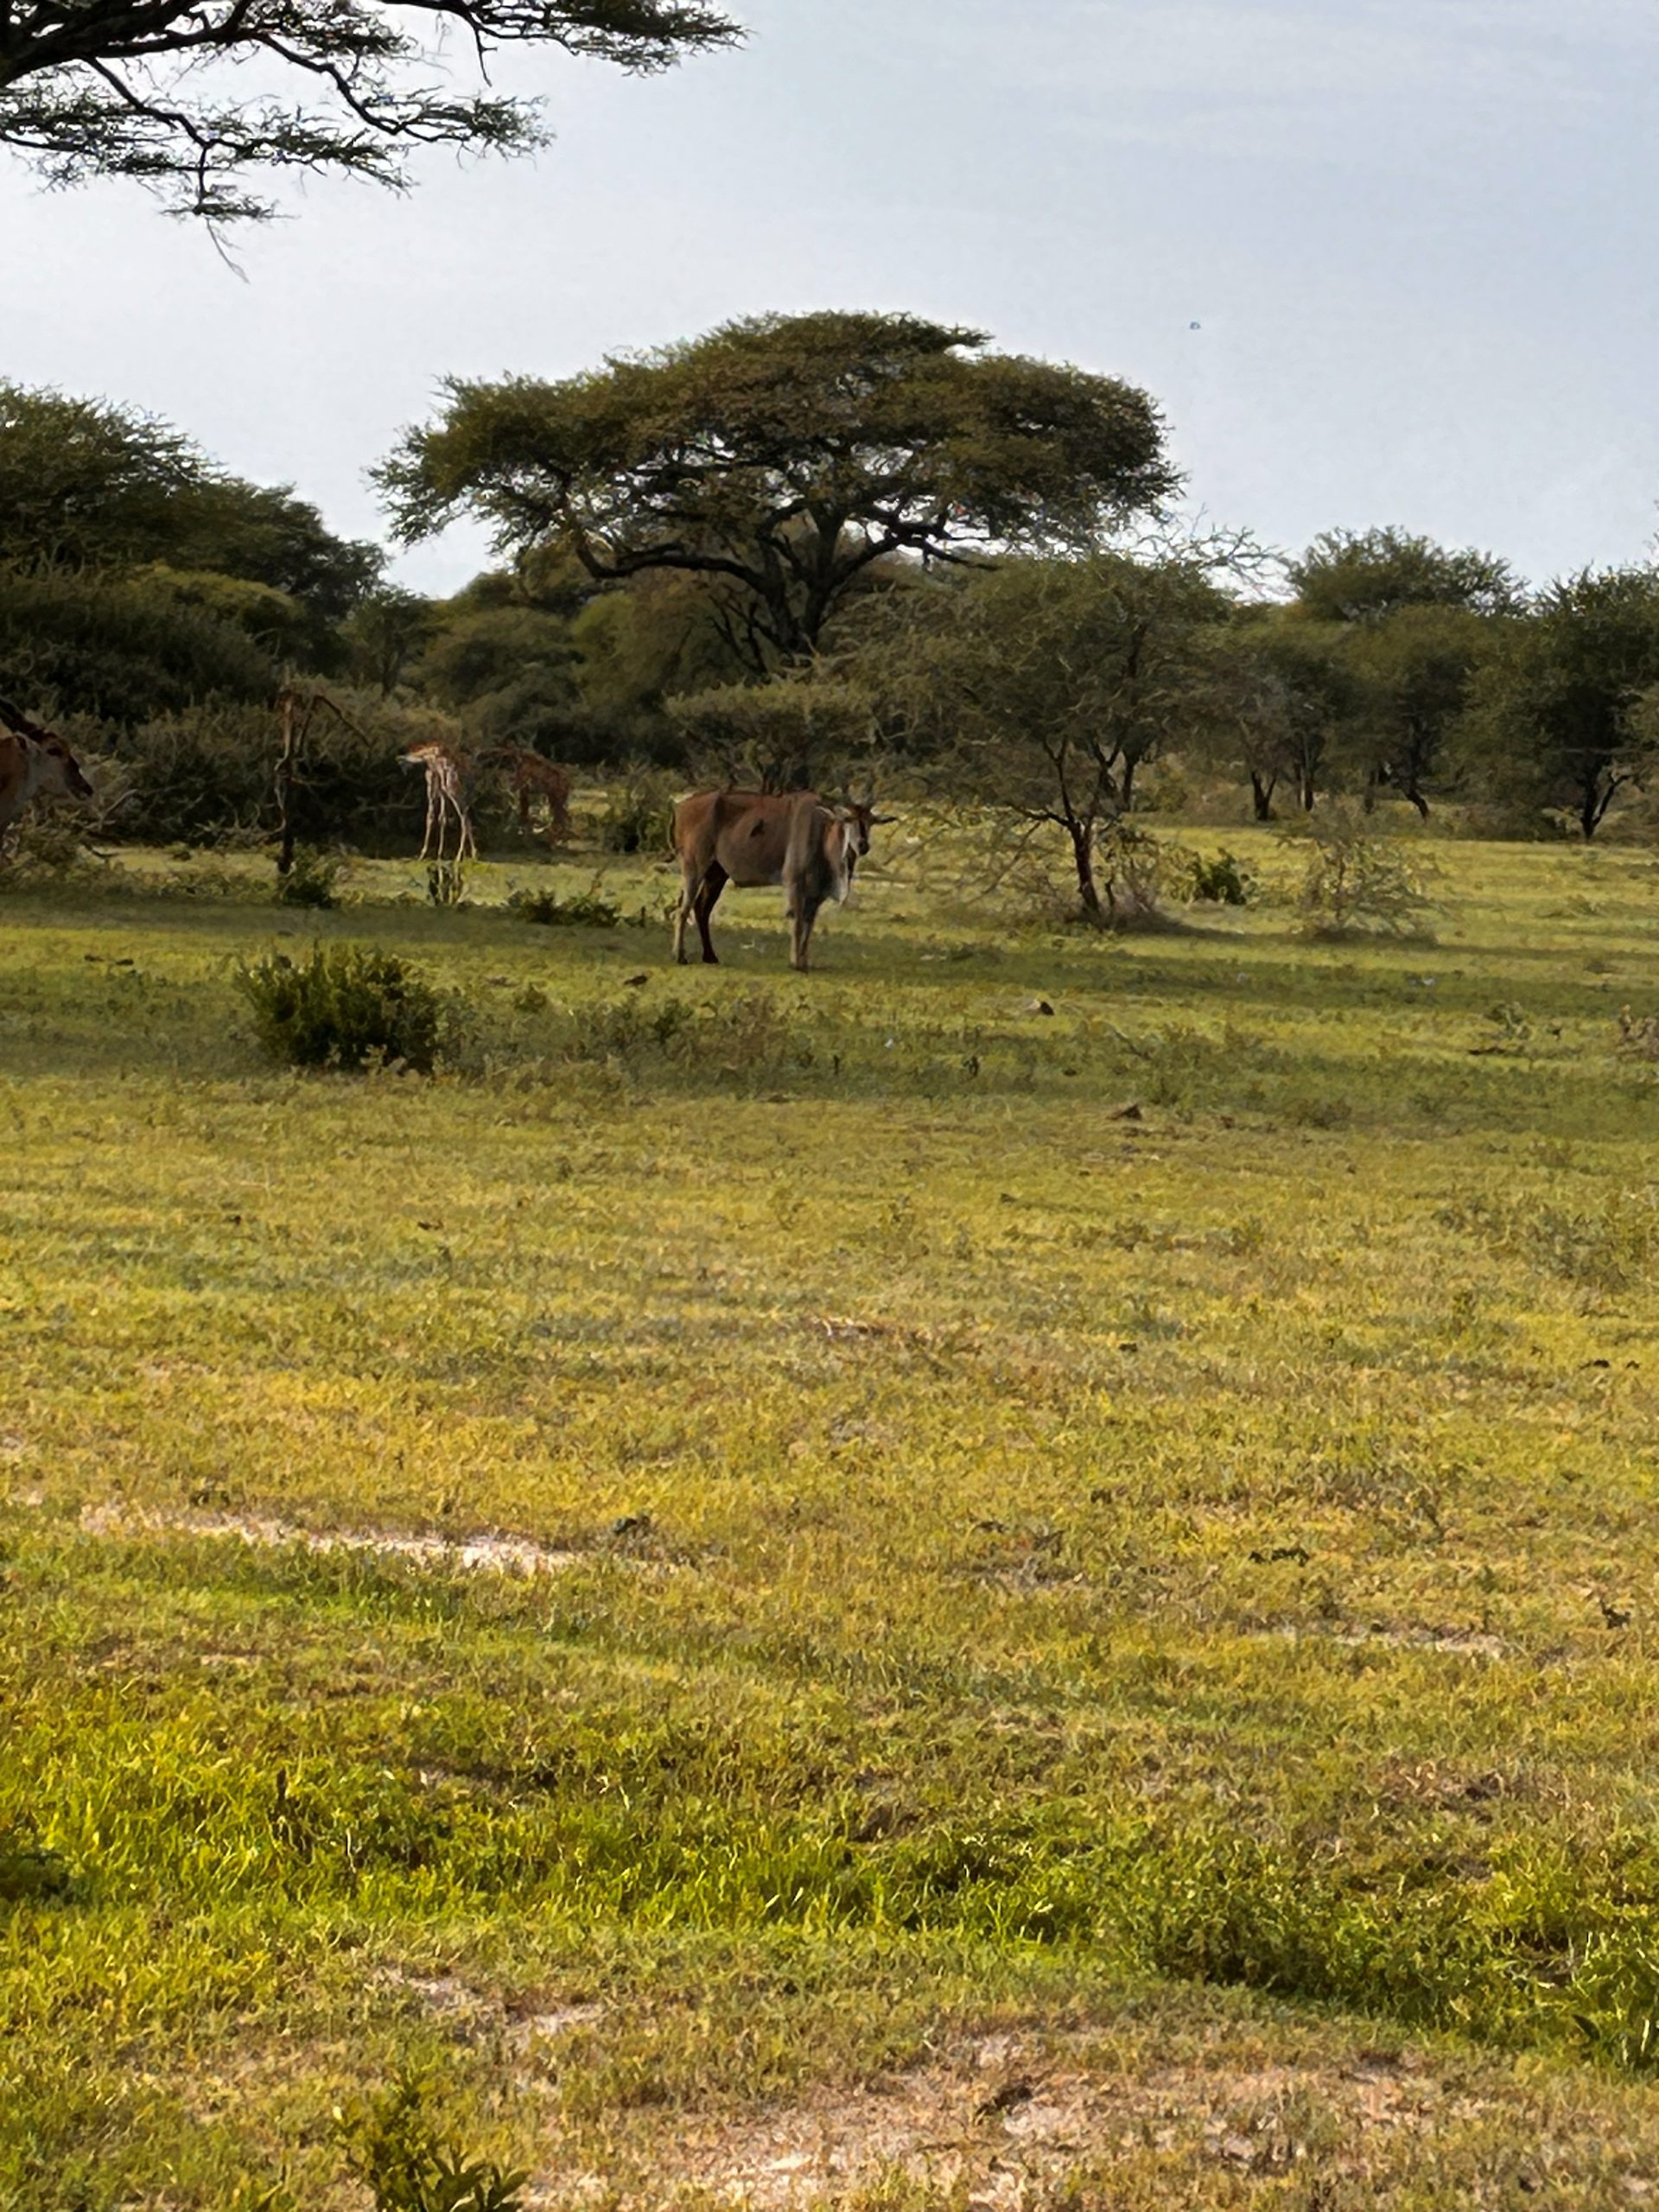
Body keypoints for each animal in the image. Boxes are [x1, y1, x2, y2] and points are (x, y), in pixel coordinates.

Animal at [401, 741, 477, 862]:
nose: (404, 772)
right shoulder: (440, 791)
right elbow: (441, 818)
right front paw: (438, 854)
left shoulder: (436, 789)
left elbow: (433, 817)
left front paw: (424, 854)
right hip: (456, 794)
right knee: (466, 818)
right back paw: (471, 855)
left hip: (454, 792)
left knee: (464, 818)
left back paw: (459, 856)